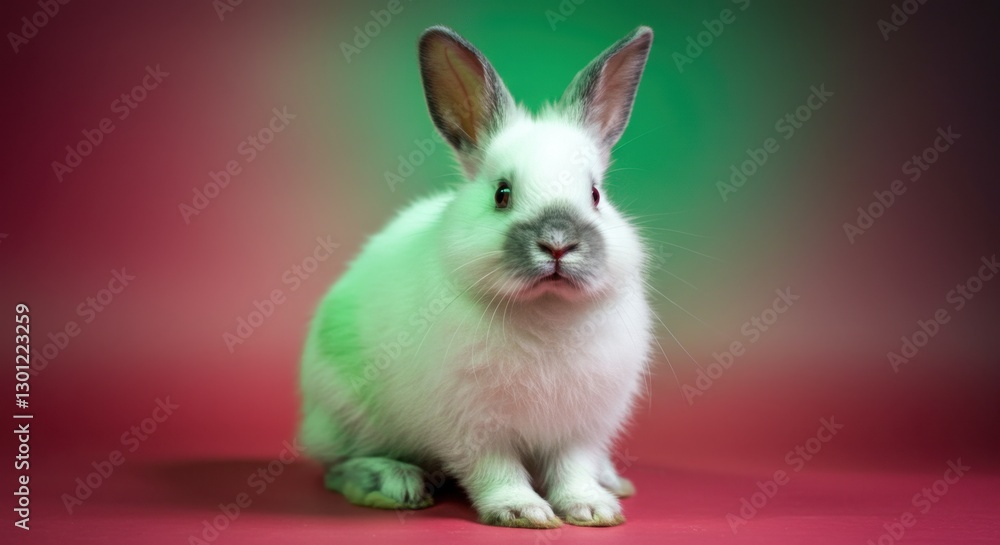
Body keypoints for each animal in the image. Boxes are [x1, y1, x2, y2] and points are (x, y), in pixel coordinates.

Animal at [299, 25, 655, 528]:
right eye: (502, 194)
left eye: (595, 194)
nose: (558, 242)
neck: (544, 309)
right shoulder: (473, 425)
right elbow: (495, 469)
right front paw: (522, 512)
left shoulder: (581, 425)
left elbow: (574, 468)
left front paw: (591, 509)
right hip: (345, 413)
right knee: (336, 466)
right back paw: (393, 482)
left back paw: (612, 481)